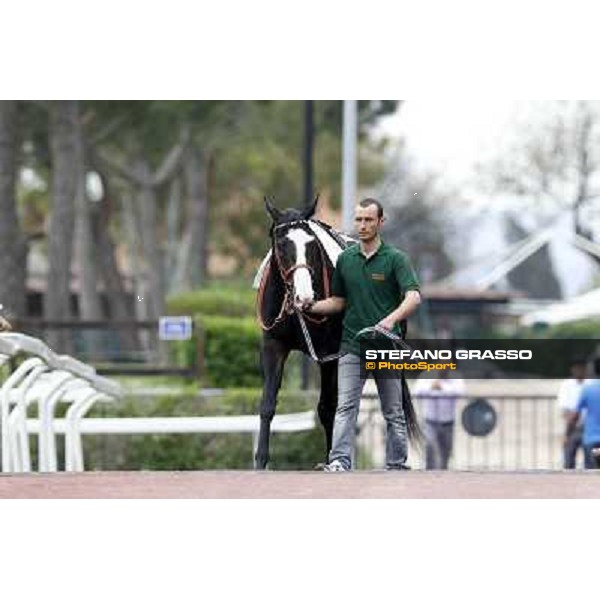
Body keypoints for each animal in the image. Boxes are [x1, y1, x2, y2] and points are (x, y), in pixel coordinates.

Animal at [254, 197, 352, 468]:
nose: (305, 297)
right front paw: (261, 460)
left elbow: (329, 408)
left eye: (312, 244)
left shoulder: (330, 353)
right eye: (281, 245)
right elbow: (267, 404)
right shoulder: (273, 346)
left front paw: (332, 460)